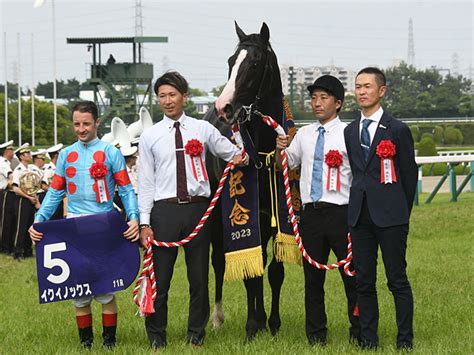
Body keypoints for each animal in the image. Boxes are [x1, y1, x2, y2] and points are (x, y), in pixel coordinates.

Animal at [203, 22, 286, 342]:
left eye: (254, 63)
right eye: (230, 62)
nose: (224, 106)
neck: (263, 150)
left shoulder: (274, 217)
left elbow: (272, 271)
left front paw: (271, 323)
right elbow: (251, 274)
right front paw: (253, 325)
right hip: (216, 215)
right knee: (218, 262)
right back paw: (217, 318)